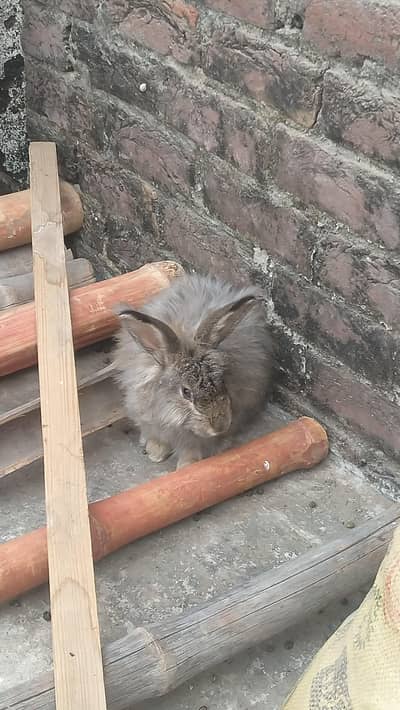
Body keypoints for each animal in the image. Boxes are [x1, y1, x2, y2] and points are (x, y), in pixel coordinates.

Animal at [113, 272, 273, 469]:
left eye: (223, 382)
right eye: (186, 392)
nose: (220, 426)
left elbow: (191, 450)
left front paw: (186, 466)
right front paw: (155, 452)